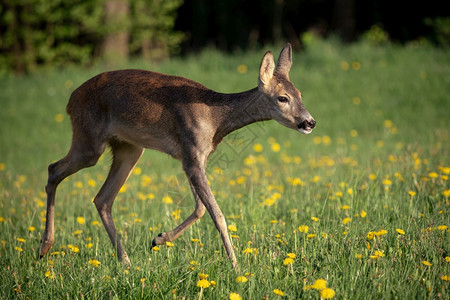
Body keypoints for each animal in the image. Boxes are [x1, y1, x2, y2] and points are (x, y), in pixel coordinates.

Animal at [38, 43, 314, 268]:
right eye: (282, 98)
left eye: (301, 94)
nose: (309, 122)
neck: (216, 119)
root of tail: (70, 100)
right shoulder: (191, 155)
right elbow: (217, 214)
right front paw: (236, 266)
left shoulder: (192, 157)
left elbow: (200, 209)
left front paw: (159, 239)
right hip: (89, 142)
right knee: (53, 169)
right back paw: (44, 247)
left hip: (128, 148)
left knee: (102, 199)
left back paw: (124, 260)